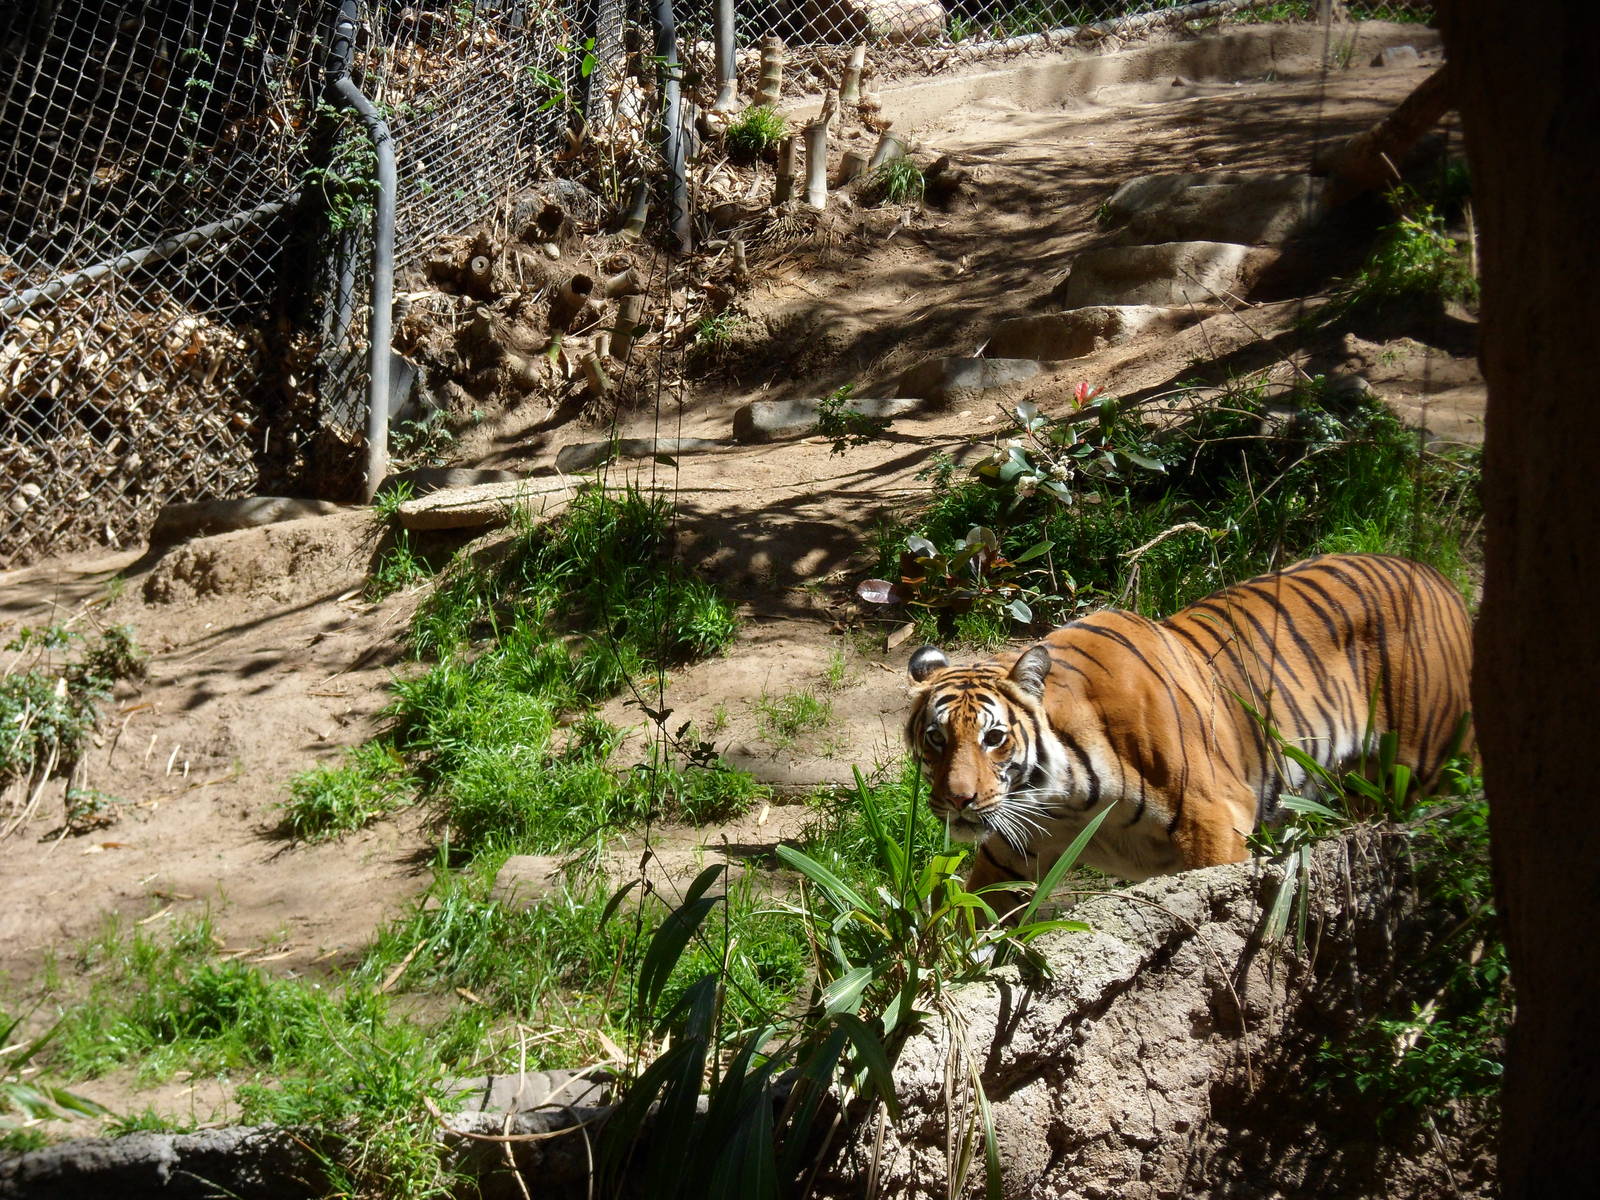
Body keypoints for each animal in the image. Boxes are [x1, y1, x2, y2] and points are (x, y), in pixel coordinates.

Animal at [904, 553, 1473, 914]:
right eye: (936, 739)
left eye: (993, 738)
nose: (958, 800)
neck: (1063, 797)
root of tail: (1437, 577)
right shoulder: (1010, 855)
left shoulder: (1216, 819)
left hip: (1428, 765)